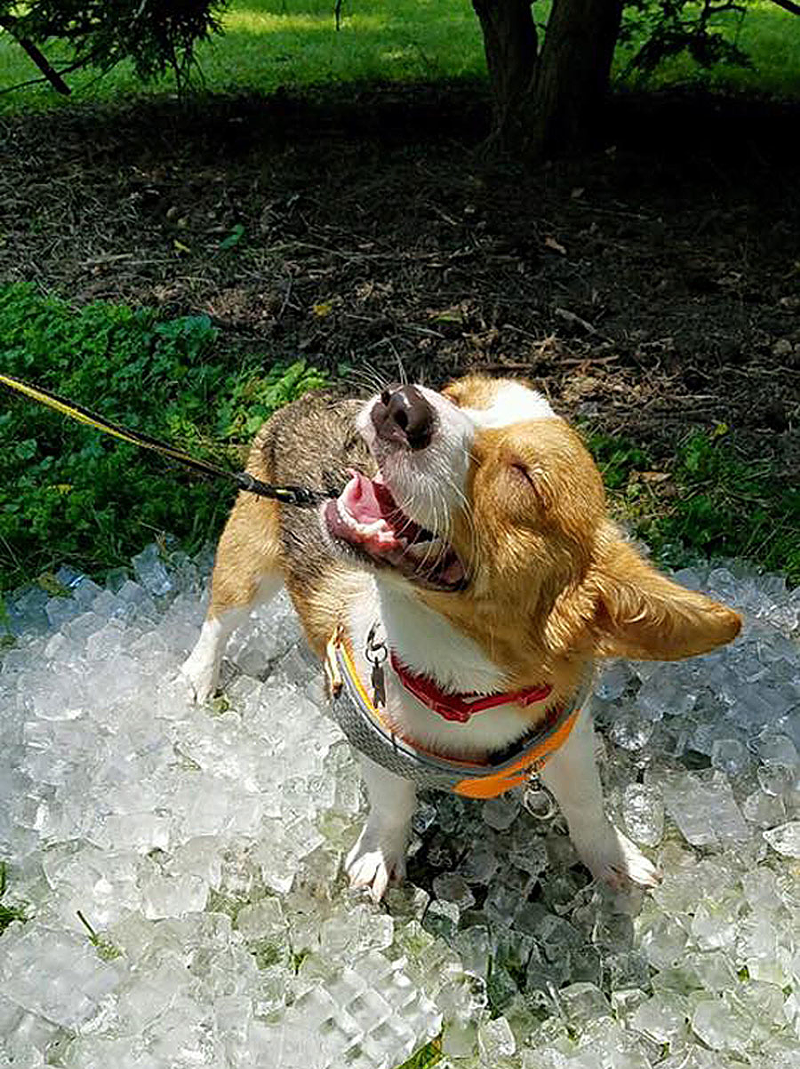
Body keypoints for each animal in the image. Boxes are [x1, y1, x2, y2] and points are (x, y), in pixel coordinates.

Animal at [182, 376, 744, 902]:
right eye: (456, 394)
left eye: (525, 478)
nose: (401, 404)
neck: (464, 685)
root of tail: (313, 395)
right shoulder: (377, 744)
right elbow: (393, 803)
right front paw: (378, 857)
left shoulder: (569, 737)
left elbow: (586, 801)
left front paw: (615, 860)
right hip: (251, 554)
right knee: (221, 617)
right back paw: (198, 678)